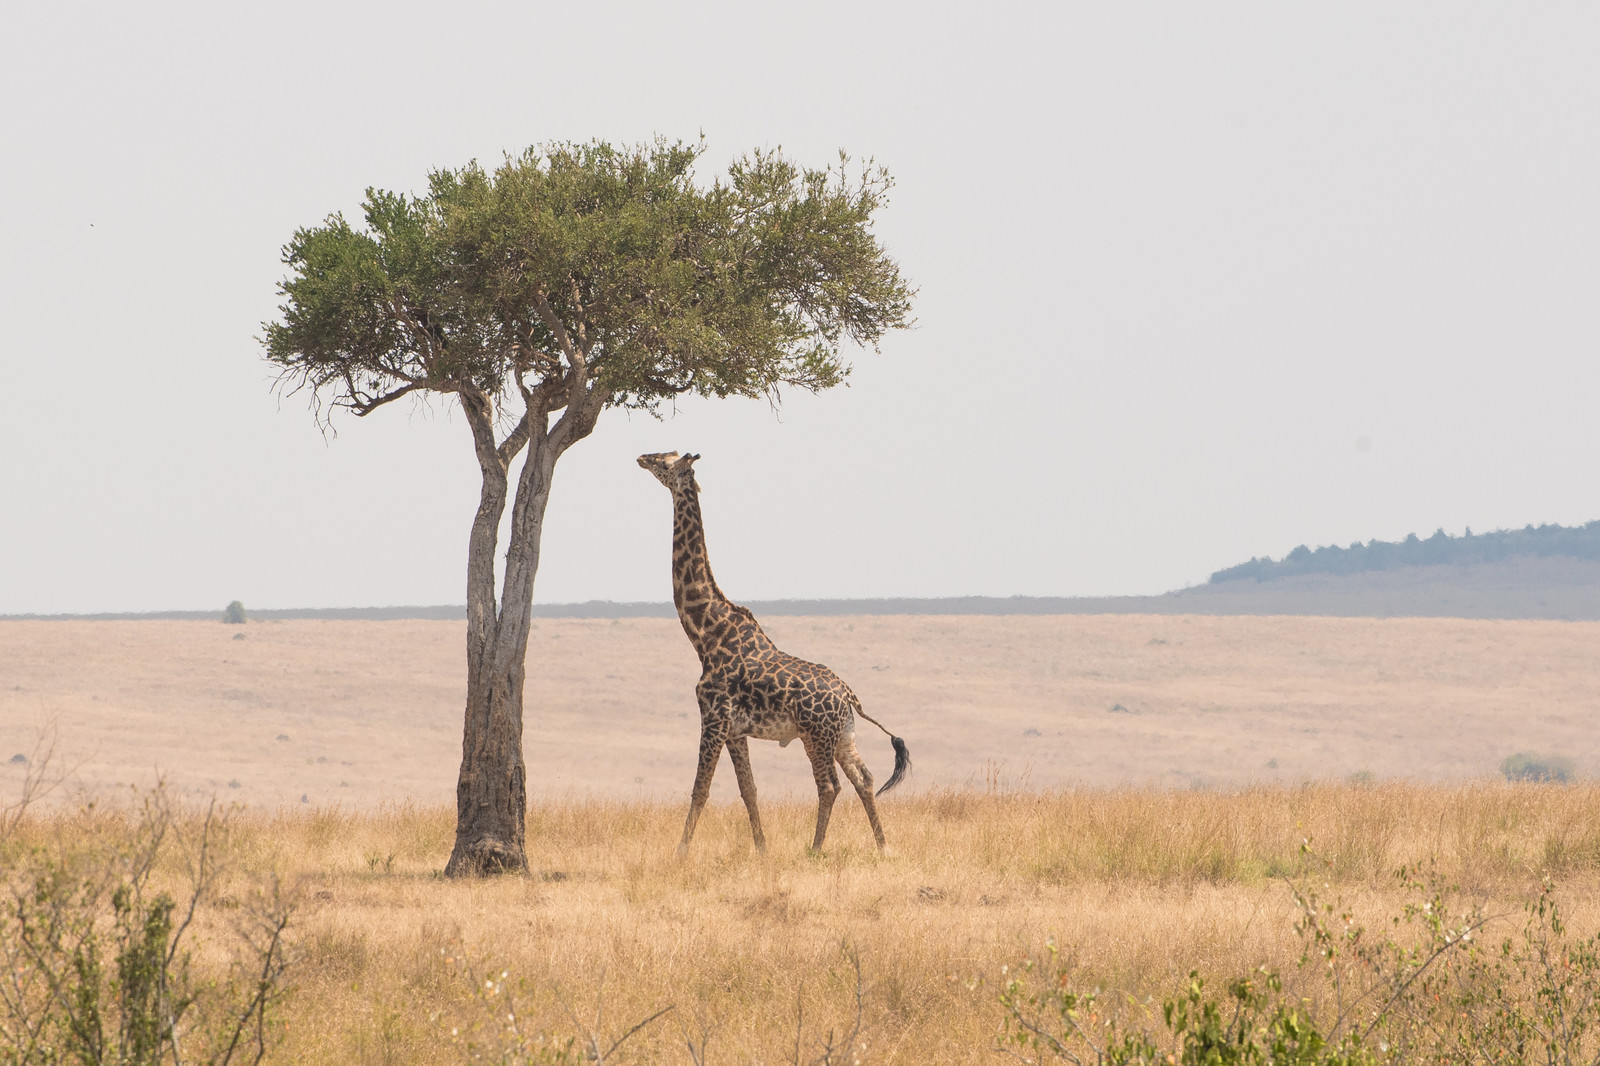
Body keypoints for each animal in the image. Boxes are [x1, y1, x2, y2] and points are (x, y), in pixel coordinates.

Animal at [640, 451, 915, 851]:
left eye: (664, 460)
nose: (641, 457)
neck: (705, 635)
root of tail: (849, 696)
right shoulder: (735, 730)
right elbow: (748, 790)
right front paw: (762, 849)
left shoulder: (713, 717)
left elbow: (700, 790)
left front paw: (681, 852)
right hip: (842, 735)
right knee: (863, 778)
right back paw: (883, 847)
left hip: (816, 735)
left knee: (829, 785)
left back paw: (815, 849)